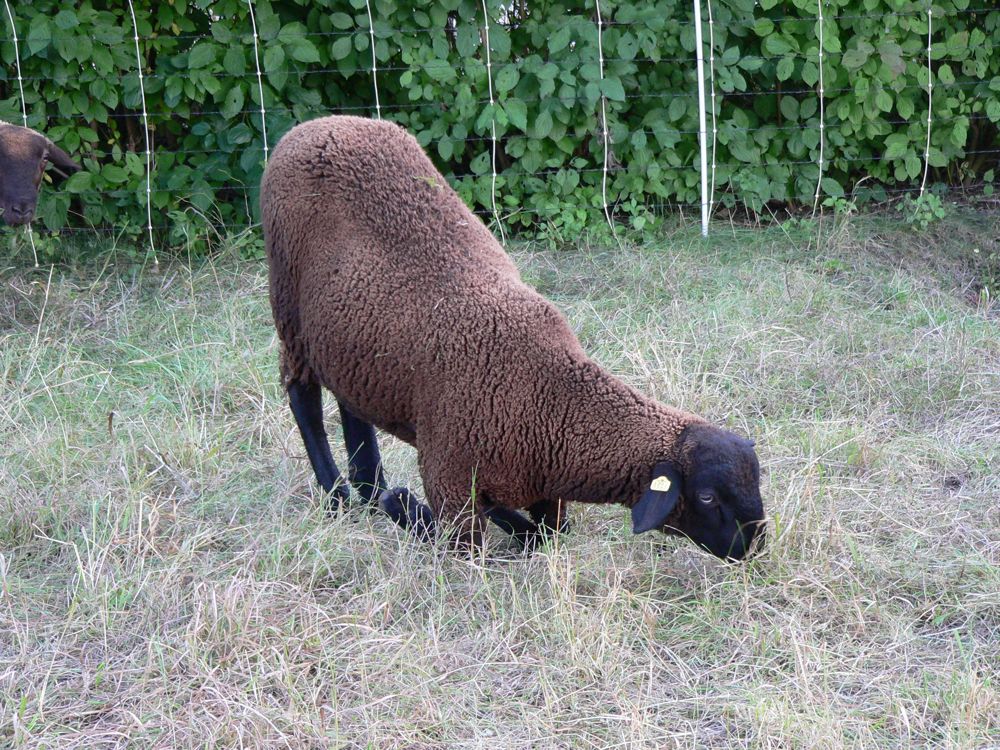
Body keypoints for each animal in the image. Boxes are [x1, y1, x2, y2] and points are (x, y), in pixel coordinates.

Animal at [261, 115, 765, 560]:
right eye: (706, 497)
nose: (753, 547)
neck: (547, 399)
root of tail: (317, 125)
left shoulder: (542, 486)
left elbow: (549, 533)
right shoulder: (448, 480)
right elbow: (466, 544)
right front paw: (401, 506)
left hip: (351, 336)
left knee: (350, 401)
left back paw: (369, 487)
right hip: (288, 306)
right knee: (303, 396)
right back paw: (341, 497)